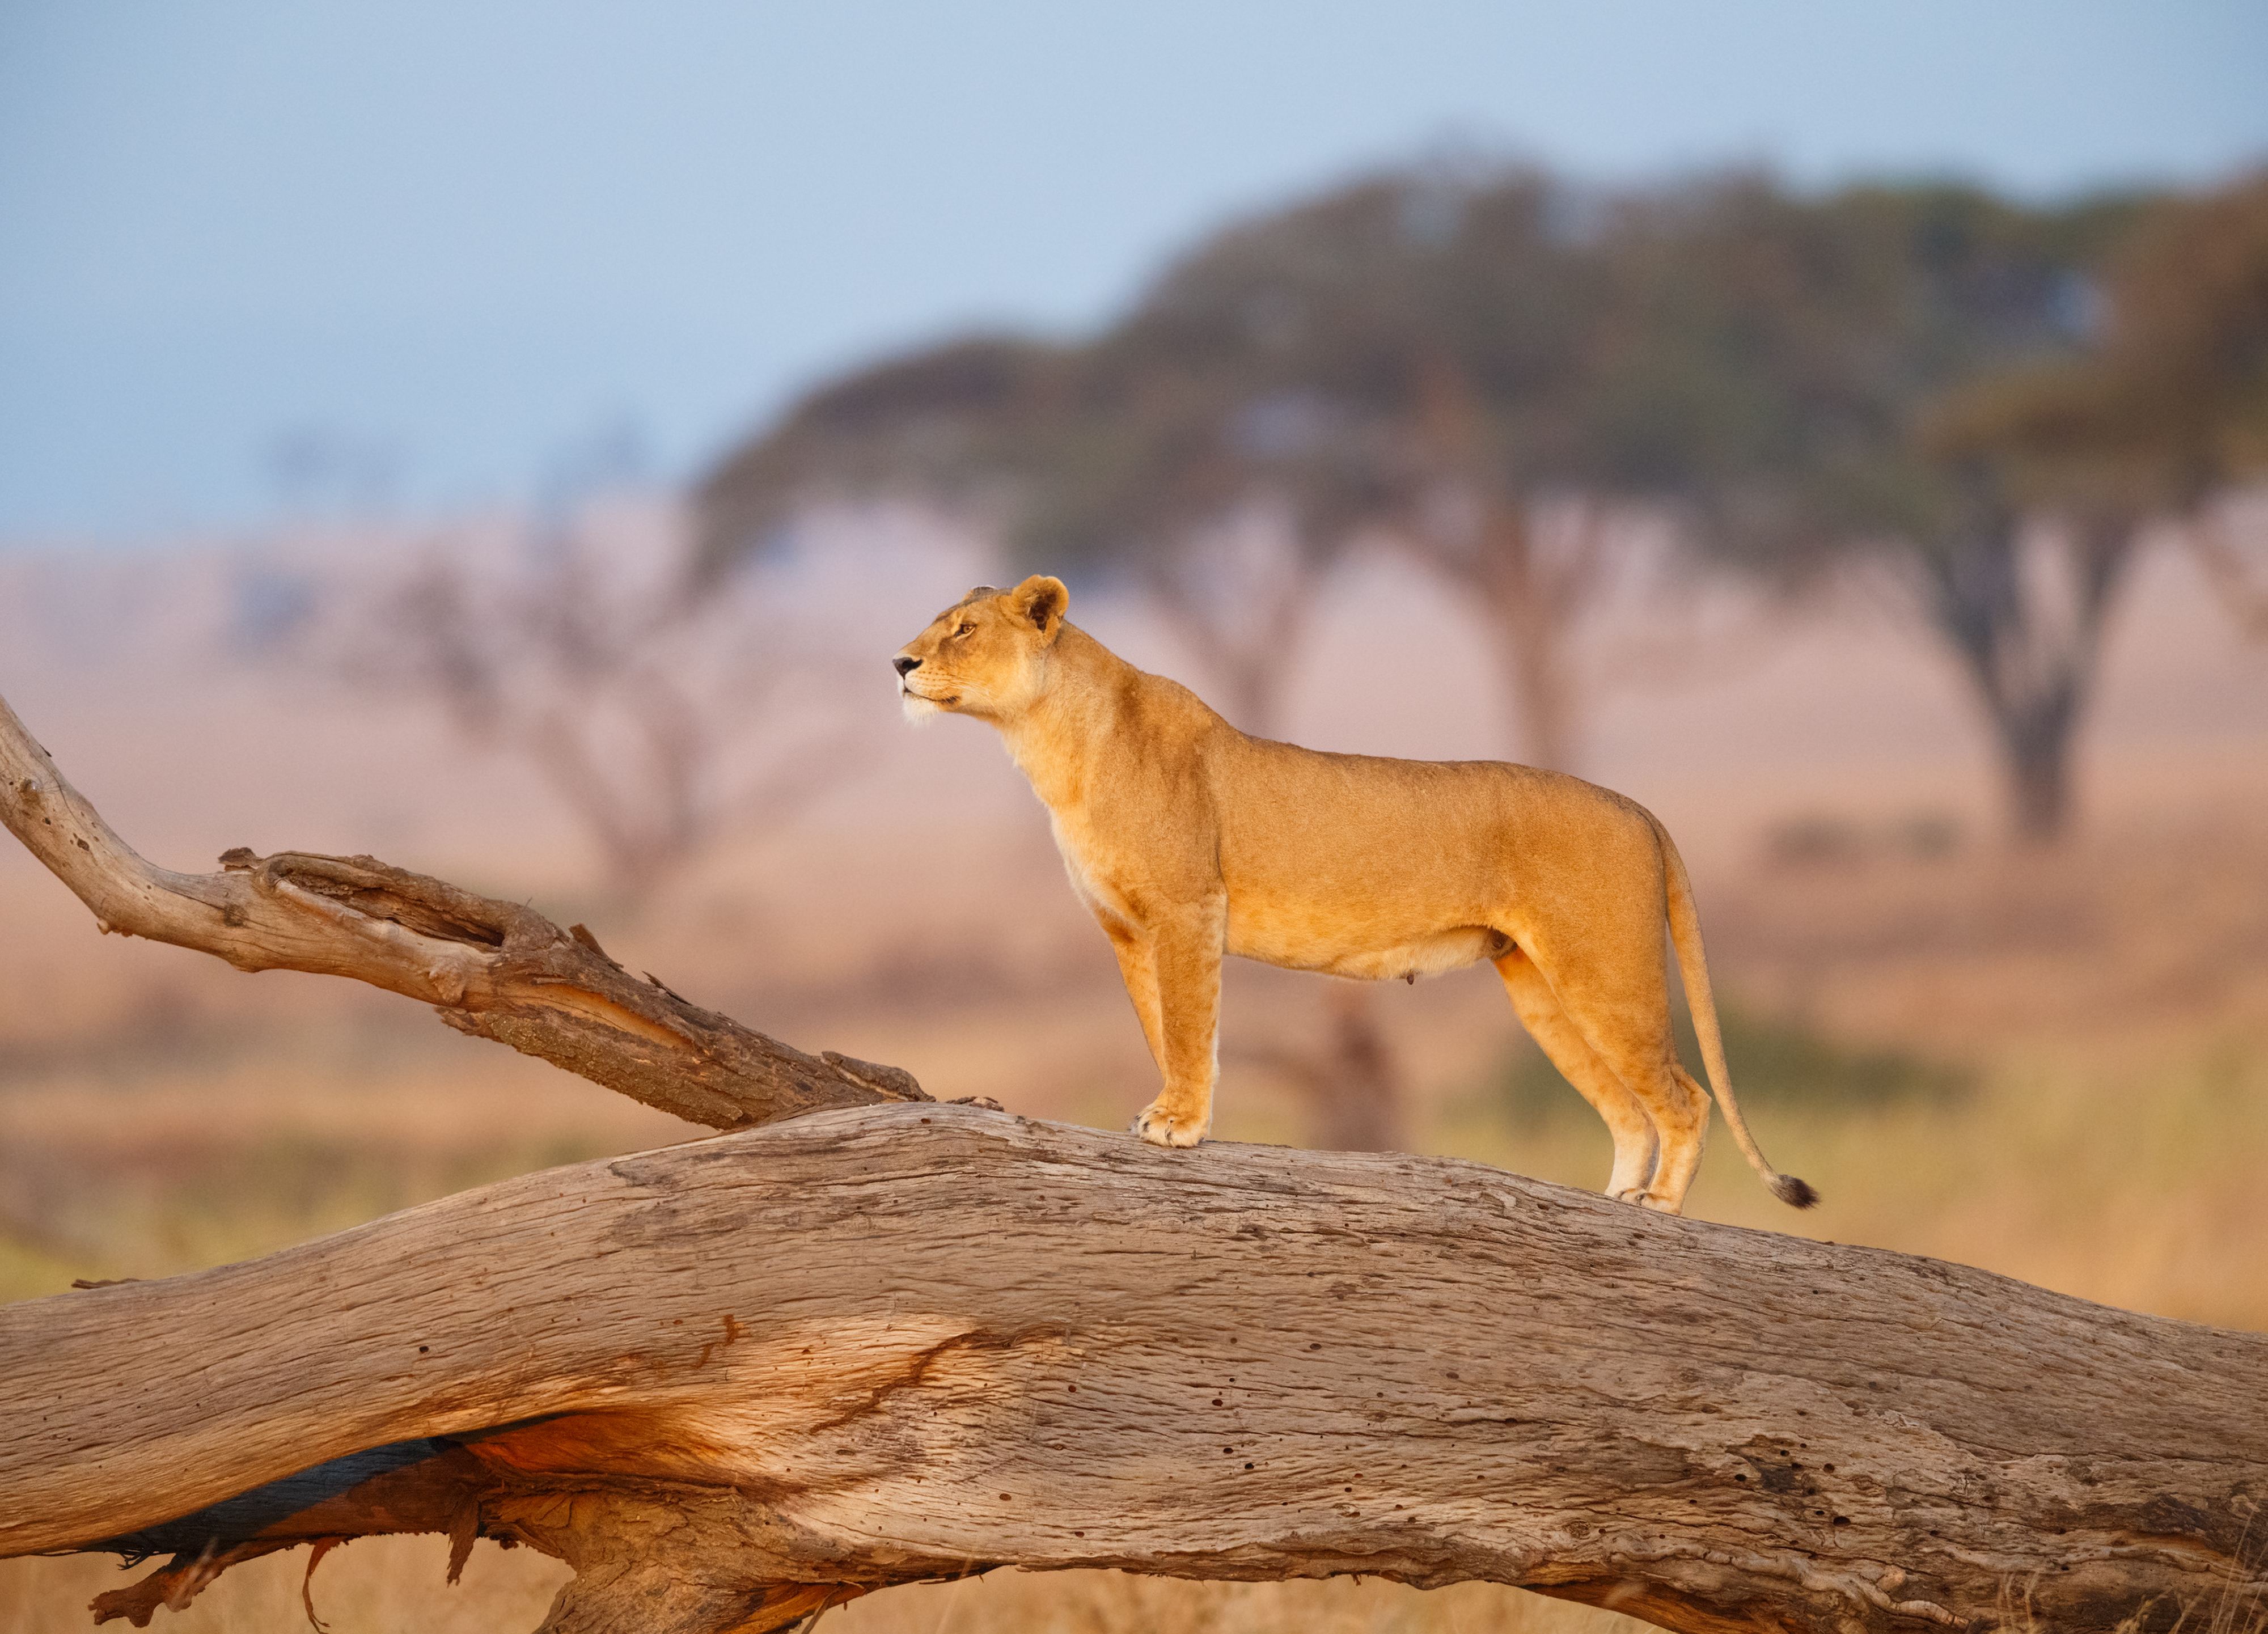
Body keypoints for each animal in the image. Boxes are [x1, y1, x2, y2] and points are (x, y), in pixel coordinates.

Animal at [893, 575, 1817, 1216]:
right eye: (935, 626)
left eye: (964, 630)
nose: (899, 664)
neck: (1052, 744)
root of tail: (1637, 806)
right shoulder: (1126, 929)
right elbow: (1162, 1029)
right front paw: (1173, 1117)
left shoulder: (1189, 910)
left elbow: (1190, 1027)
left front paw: (1178, 1125)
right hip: (1538, 985)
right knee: (1627, 1107)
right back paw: (1617, 1200)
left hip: (1604, 969)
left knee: (1684, 1096)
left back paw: (1659, 1205)